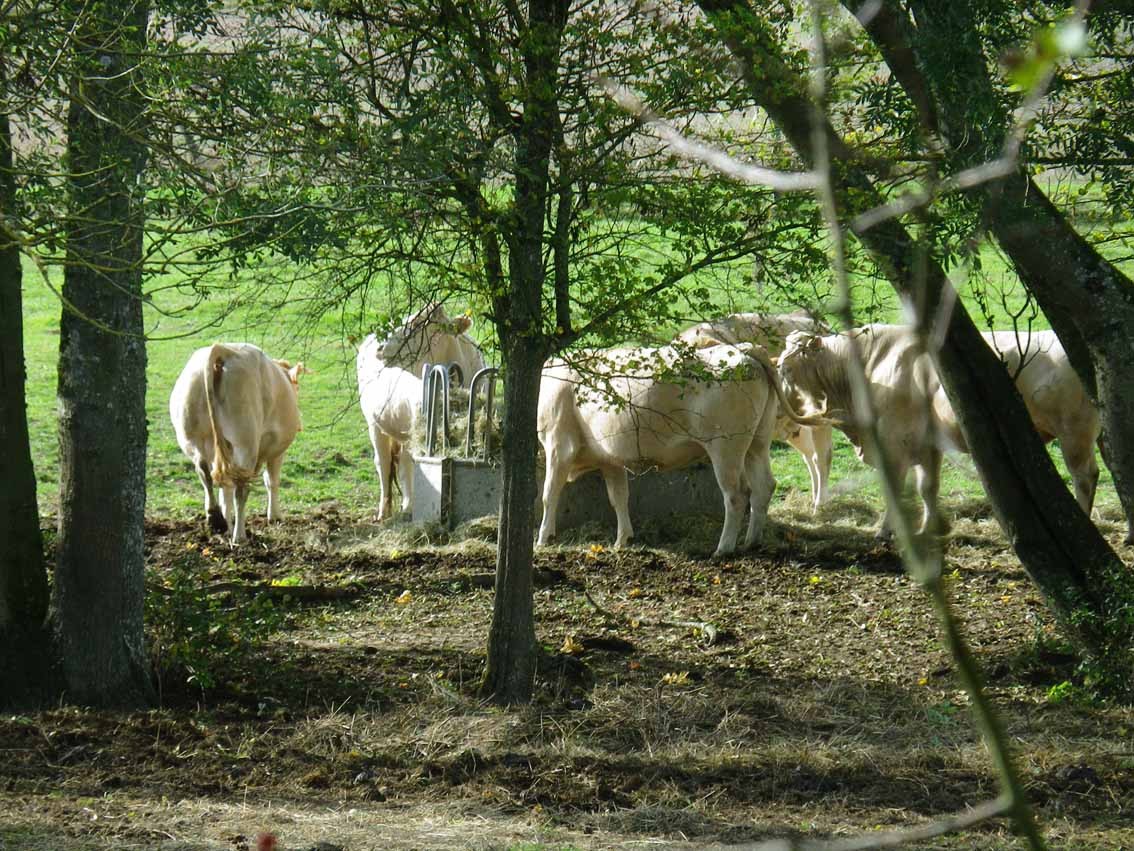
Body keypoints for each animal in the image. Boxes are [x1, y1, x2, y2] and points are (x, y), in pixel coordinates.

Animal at [167, 342, 301, 546]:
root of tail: (224, 350)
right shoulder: (277, 451)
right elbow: (272, 481)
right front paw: (275, 516)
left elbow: (225, 491)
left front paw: (226, 520)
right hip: (245, 443)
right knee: (241, 490)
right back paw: (239, 535)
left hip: (192, 438)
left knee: (205, 472)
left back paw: (216, 519)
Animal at [358, 304, 487, 519]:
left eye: (419, 325)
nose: (380, 348)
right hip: (375, 424)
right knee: (384, 463)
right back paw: (385, 511)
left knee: (403, 463)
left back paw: (408, 505)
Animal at [535, 342, 830, 555]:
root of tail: (744, 349)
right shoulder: (611, 459)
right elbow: (618, 497)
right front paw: (622, 539)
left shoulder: (559, 444)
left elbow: (549, 493)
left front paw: (543, 538)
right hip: (757, 444)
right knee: (764, 487)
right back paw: (751, 542)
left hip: (726, 448)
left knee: (736, 495)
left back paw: (723, 548)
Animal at [775, 326, 1102, 540]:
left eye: (785, 370)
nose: (776, 368)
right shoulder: (927, 445)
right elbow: (928, 487)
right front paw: (931, 528)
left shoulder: (893, 443)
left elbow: (895, 489)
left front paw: (886, 531)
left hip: (1074, 432)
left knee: (1084, 476)